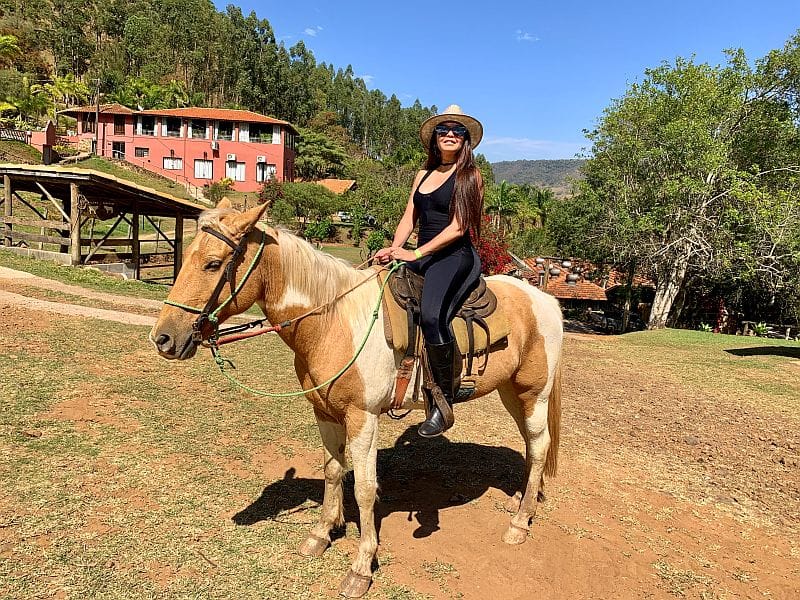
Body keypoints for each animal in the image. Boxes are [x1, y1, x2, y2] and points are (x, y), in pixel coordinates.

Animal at [150, 200, 564, 596]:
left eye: (213, 263)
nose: (164, 338)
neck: (334, 322)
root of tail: (545, 299)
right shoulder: (325, 413)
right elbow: (333, 471)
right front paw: (321, 534)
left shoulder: (363, 417)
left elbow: (365, 488)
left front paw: (362, 566)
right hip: (511, 392)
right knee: (531, 446)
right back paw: (521, 502)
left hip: (534, 392)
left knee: (539, 445)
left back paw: (519, 524)